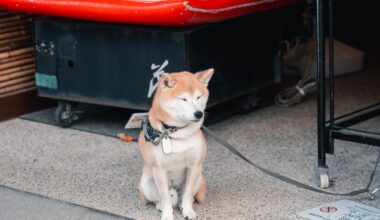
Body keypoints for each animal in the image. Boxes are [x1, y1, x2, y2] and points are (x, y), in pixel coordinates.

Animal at [138, 68, 214, 219]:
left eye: (198, 97)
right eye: (183, 99)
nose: (199, 113)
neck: (176, 133)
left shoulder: (194, 166)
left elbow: (188, 194)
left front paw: (188, 210)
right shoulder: (159, 170)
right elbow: (165, 197)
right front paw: (167, 214)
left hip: (199, 178)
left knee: (185, 196)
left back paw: (181, 205)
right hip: (146, 183)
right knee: (157, 199)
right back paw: (160, 207)